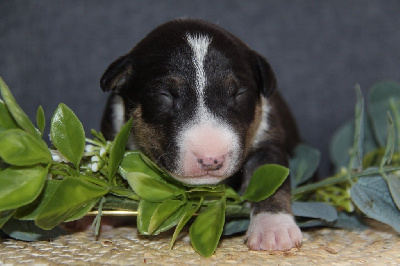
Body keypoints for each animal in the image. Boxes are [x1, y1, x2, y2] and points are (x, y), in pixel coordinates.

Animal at [101, 18, 304, 251]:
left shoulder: (267, 139)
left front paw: (273, 229)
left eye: (240, 94)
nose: (210, 159)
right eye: (164, 95)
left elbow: (271, 182)